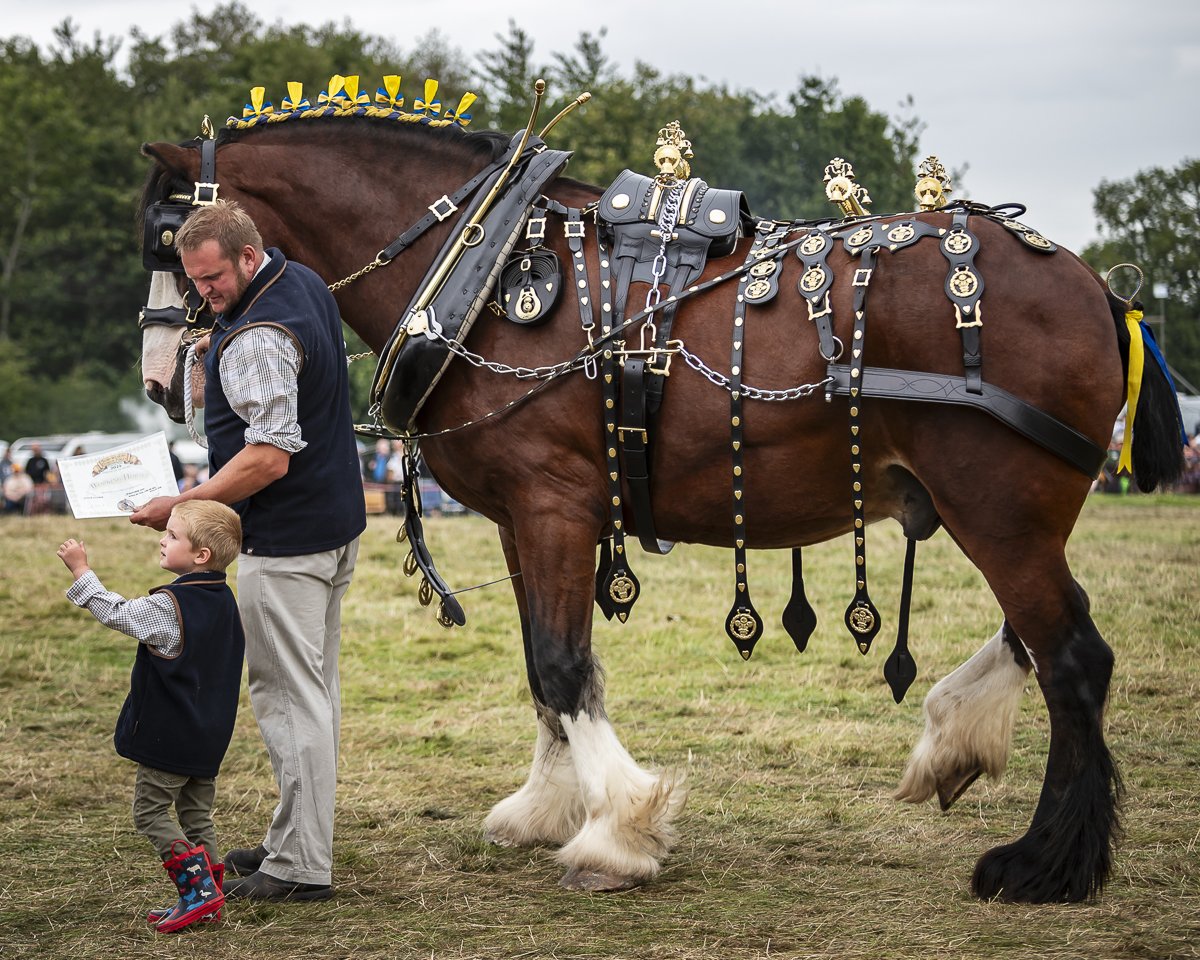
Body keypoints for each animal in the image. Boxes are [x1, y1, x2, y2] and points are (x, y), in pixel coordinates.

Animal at [136, 108, 1184, 903]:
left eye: (165, 240)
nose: (155, 381)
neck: (482, 264)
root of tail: (1096, 287)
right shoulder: (522, 519)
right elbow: (543, 665)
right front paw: (549, 807)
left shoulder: (552, 504)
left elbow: (563, 667)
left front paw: (619, 830)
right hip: (1004, 508)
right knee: (1033, 638)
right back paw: (955, 741)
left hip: (995, 502)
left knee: (1073, 659)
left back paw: (1046, 861)